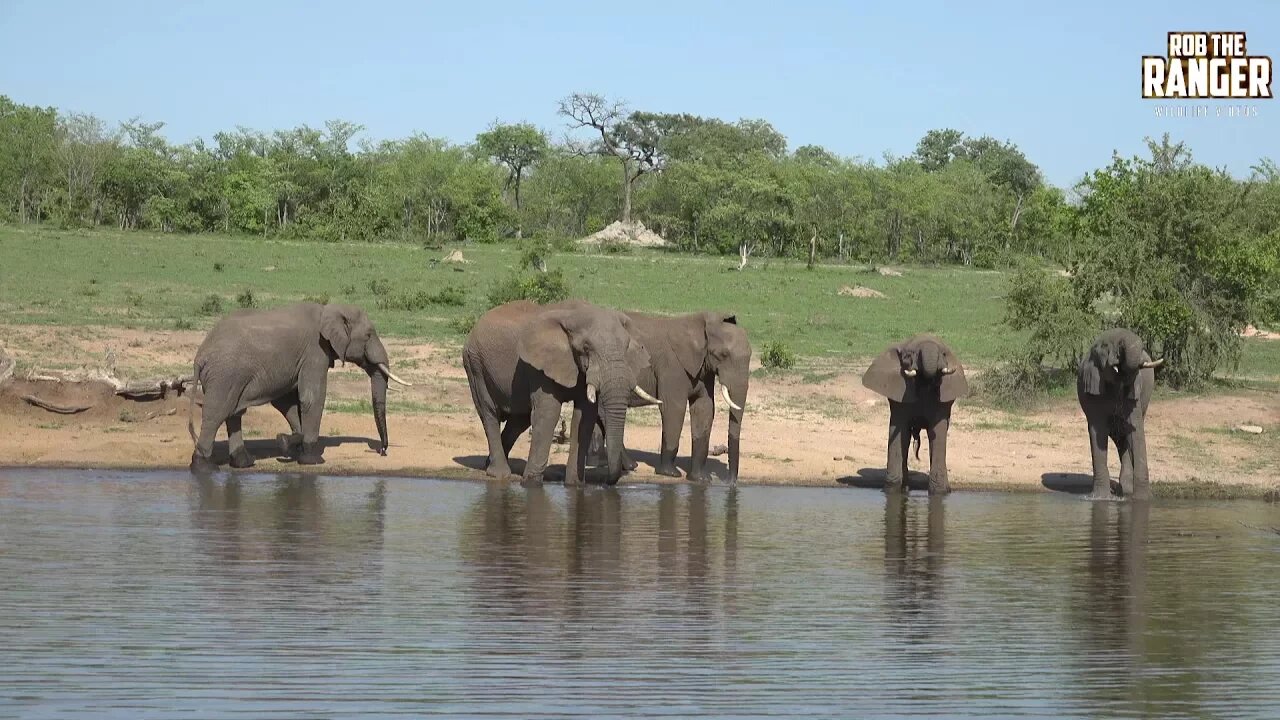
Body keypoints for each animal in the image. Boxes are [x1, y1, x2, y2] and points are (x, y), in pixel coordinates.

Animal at [186, 298, 409, 471]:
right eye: (369, 335)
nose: (382, 451)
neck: (329, 309)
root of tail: (199, 357)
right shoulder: (315, 351)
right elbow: (312, 398)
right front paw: (311, 459)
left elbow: (287, 402)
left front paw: (289, 442)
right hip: (224, 375)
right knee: (217, 414)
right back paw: (204, 467)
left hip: (230, 377)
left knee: (234, 414)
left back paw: (243, 463)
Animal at [460, 297, 660, 486]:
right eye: (586, 348)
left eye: (627, 348)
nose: (605, 481)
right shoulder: (540, 365)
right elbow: (549, 413)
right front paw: (531, 484)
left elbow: (584, 417)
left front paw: (575, 485)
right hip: (475, 364)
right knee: (489, 413)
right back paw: (499, 473)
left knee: (519, 420)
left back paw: (489, 464)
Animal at [581, 310, 747, 481]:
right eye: (723, 354)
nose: (730, 482)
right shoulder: (672, 366)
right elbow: (674, 409)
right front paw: (670, 474)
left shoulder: (702, 369)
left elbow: (704, 408)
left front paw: (700, 479)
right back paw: (630, 465)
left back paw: (599, 463)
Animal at [865, 333, 962, 491]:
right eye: (909, 355)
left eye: (944, 354)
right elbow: (900, 432)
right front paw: (892, 489)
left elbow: (937, 432)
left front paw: (939, 491)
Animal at [1075, 326, 1167, 499]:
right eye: (1105, 346)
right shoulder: (1093, 388)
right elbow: (1098, 432)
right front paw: (1100, 498)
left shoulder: (1134, 391)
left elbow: (1136, 430)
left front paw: (1143, 500)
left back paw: (1127, 491)